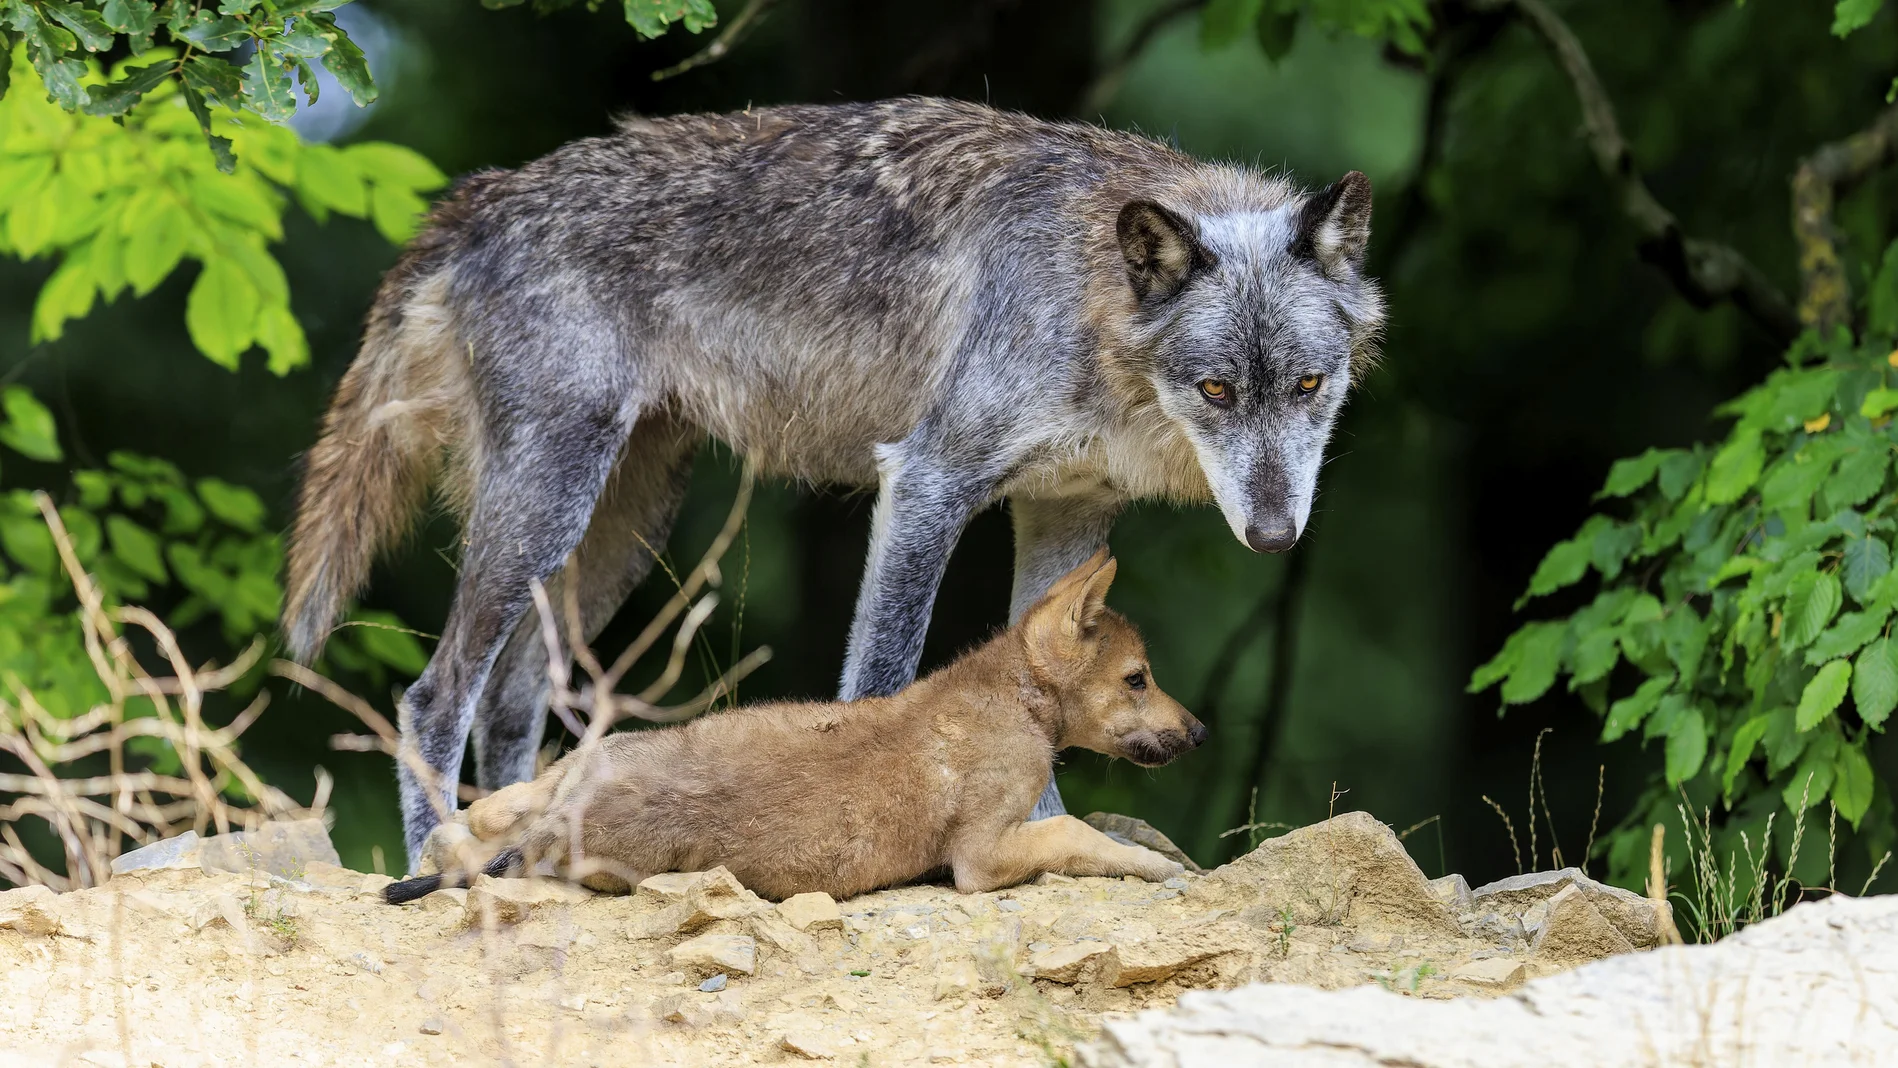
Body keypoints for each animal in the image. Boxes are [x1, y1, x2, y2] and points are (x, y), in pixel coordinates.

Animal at [382, 552, 1205, 903]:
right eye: (1138, 678)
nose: (1200, 734)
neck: (1014, 697)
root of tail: (572, 811)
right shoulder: (982, 854)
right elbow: (1080, 833)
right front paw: (1160, 866)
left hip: (567, 769)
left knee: (463, 825)